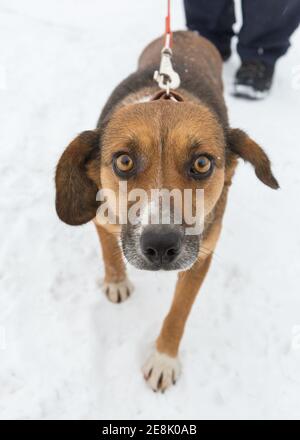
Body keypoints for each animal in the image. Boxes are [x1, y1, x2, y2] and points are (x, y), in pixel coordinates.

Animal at [55, 32, 278, 394]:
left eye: (201, 163)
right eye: (124, 161)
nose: (160, 246)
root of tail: (188, 33)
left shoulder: (201, 257)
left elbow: (178, 313)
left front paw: (164, 359)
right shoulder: (102, 219)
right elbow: (110, 253)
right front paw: (116, 282)